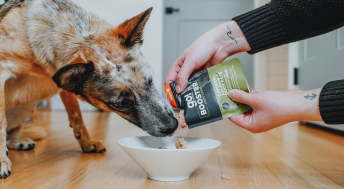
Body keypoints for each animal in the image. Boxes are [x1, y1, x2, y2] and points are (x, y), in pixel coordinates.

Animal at [0, 0, 179, 178]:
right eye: (120, 104)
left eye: (149, 81)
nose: (173, 126)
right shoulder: (2, 72)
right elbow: (1, 122)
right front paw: (2, 161)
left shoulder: (63, 83)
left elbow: (76, 116)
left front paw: (87, 143)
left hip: (26, 107)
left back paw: (18, 141)